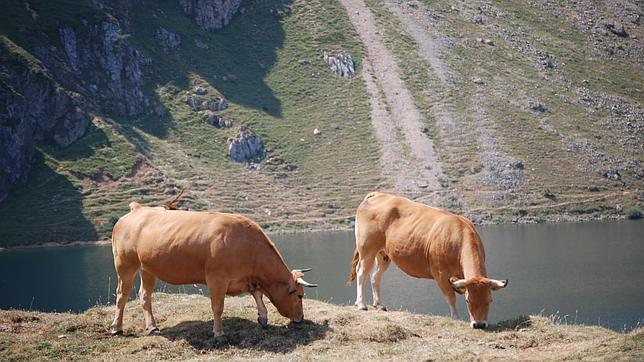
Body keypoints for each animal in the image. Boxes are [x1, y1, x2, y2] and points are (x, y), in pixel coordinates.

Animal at [114, 201, 320, 346]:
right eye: (300, 296)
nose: (301, 318)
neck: (247, 244)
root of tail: (138, 209)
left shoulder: (248, 278)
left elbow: (258, 295)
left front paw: (263, 317)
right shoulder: (217, 280)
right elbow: (218, 307)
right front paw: (219, 335)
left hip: (147, 268)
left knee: (145, 295)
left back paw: (152, 327)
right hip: (125, 265)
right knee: (122, 295)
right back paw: (117, 328)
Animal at [348, 194, 508, 330]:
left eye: (490, 300)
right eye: (468, 300)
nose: (479, 324)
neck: (458, 237)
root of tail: (377, 194)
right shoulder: (440, 274)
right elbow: (451, 297)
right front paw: (455, 318)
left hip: (384, 254)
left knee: (375, 276)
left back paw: (379, 304)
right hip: (367, 249)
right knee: (361, 273)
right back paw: (361, 304)